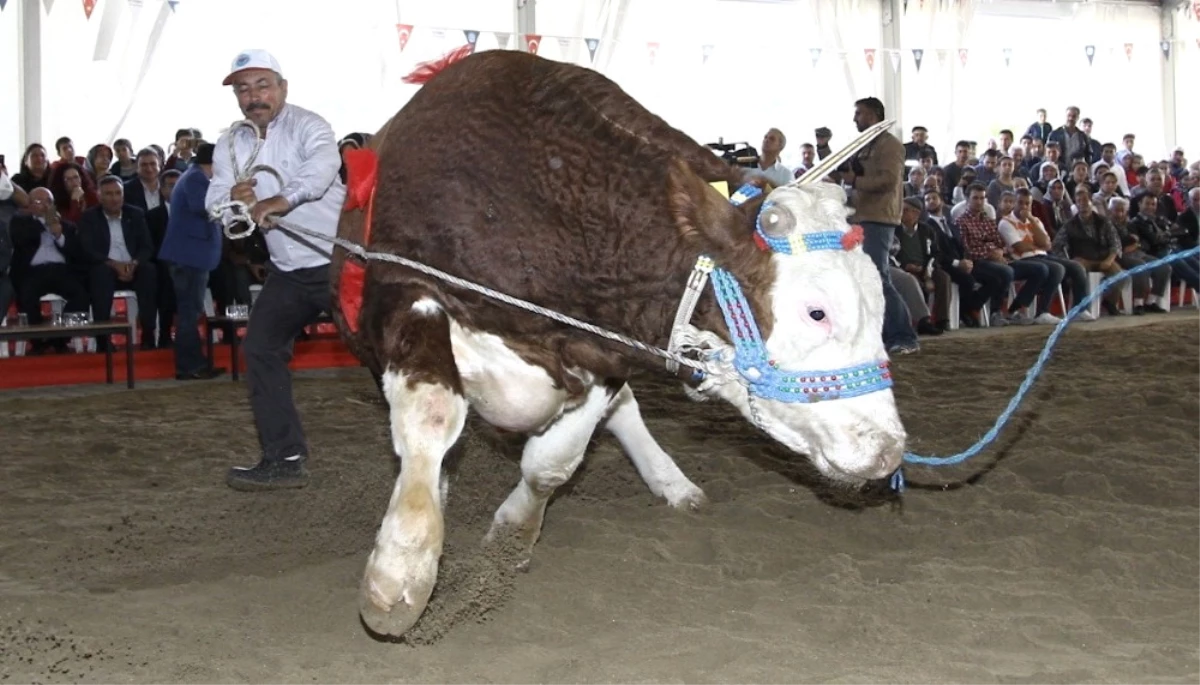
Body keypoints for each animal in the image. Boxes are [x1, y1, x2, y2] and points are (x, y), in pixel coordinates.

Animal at [328, 48, 907, 638]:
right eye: (817, 312)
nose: (888, 450)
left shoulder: (608, 347)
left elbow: (553, 463)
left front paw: (511, 537)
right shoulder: (405, 290)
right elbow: (431, 414)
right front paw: (400, 571)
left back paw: (673, 484)